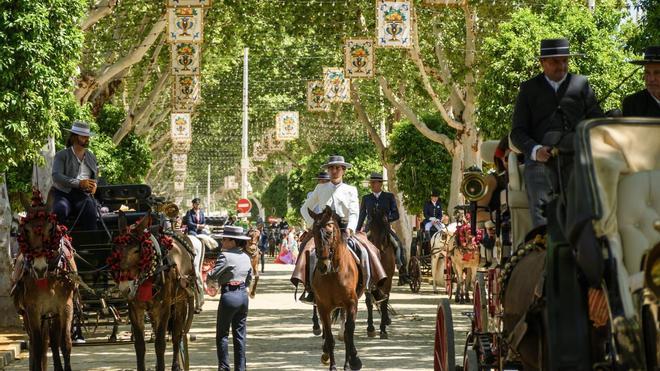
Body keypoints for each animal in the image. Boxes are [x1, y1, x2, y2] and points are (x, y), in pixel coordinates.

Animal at [10, 192, 77, 371]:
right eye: (25, 229)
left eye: (51, 228)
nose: (39, 268)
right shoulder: (33, 310)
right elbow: (39, 345)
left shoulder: (65, 307)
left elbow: (65, 343)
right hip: (30, 315)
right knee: (35, 343)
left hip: (52, 314)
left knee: (53, 341)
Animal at [108, 212, 195, 371]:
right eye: (116, 249)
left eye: (137, 250)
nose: (125, 288)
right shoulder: (135, 308)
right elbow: (139, 345)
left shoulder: (165, 308)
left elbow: (160, 344)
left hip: (180, 302)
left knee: (177, 335)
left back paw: (176, 365)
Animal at [308, 206, 364, 371]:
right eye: (313, 233)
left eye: (329, 232)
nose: (323, 266)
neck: (334, 272)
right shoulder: (323, 307)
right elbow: (329, 337)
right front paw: (333, 365)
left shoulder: (351, 304)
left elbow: (348, 335)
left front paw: (349, 364)